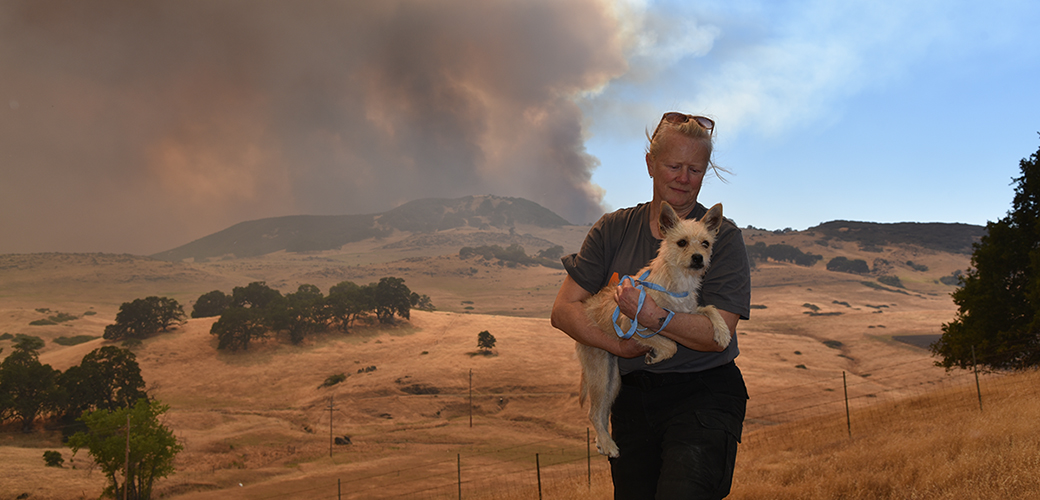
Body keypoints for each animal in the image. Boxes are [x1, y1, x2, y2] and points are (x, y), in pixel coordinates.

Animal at [578, 201, 732, 455]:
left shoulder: (687, 313)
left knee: (601, 412)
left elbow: (710, 308)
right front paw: (656, 354)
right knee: (593, 412)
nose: (698, 258)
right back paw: (608, 444)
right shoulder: (631, 321)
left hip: (613, 381)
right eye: (682, 243)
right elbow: (669, 345)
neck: (678, 280)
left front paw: (722, 332)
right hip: (599, 373)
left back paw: (603, 441)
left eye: (706, 243)